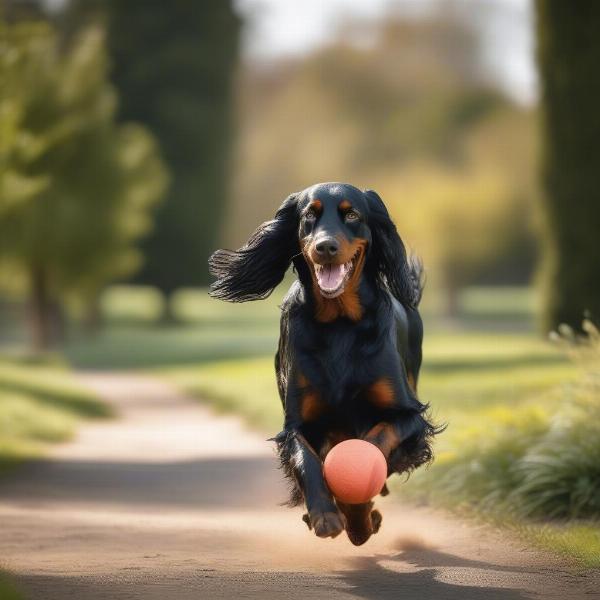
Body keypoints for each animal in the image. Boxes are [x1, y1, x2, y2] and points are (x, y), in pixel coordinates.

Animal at [209, 182, 438, 544]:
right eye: (309, 216)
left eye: (352, 214)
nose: (325, 247)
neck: (340, 323)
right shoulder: (297, 425)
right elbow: (308, 461)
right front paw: (325, 515)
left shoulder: (408, 416)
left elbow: (374, 443)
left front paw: (358, 518)